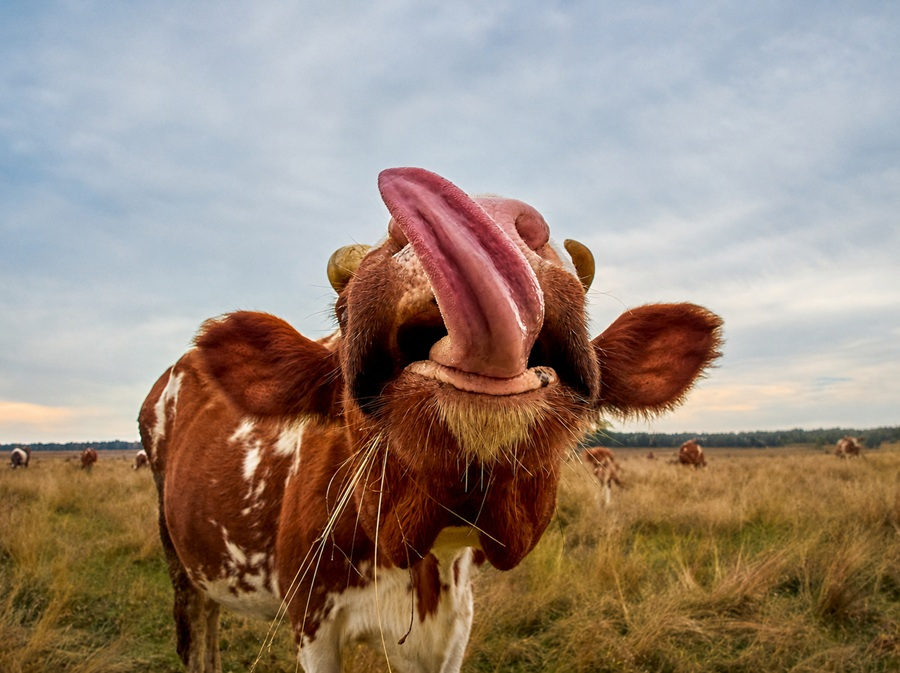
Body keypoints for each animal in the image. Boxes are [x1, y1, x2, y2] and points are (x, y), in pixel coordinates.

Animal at [139, 167, 723, 673]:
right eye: (340, 317)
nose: (483, 214)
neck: (422, 553)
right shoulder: (311, 623)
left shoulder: (451, 627)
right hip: (180, 557)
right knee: (195, 632)